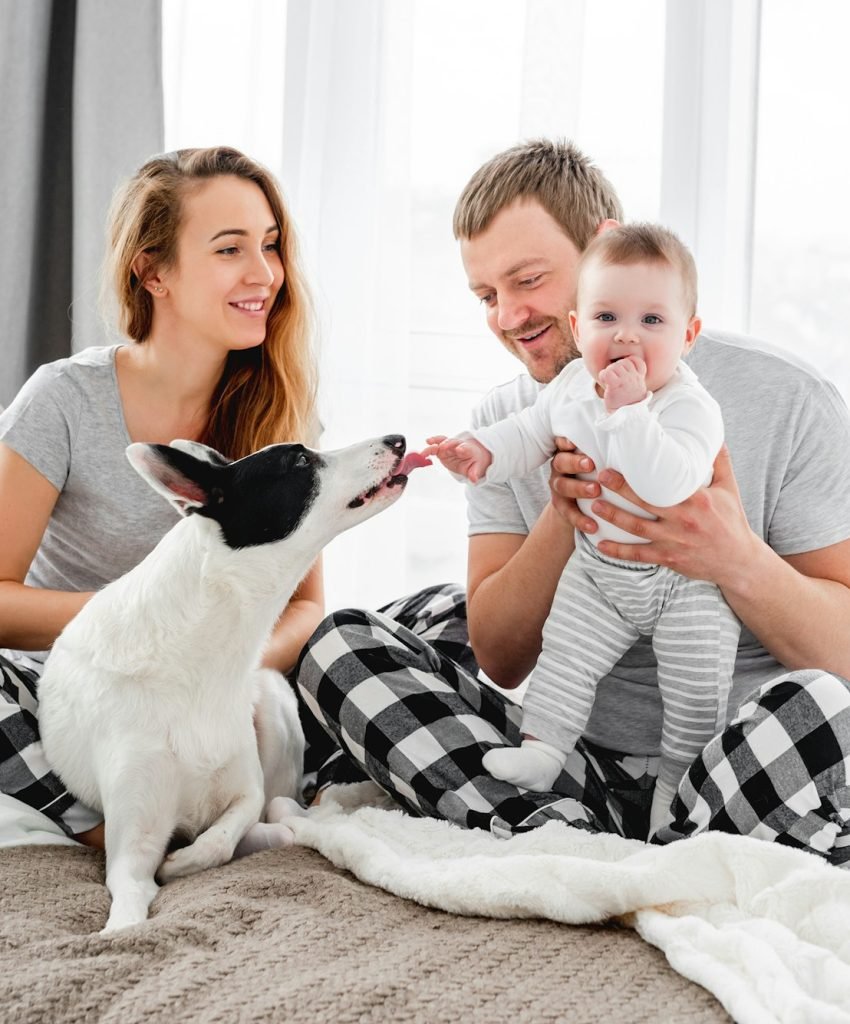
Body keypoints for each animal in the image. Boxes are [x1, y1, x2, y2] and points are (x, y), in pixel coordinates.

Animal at [38, 436, 421, 933]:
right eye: (300, 460)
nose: (398, 439)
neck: (196, 659)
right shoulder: (130, 853)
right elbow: (128, 910)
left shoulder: (243, 789)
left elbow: (228, 831)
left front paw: (185, 859)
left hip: (274, 705)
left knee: (282, 807)